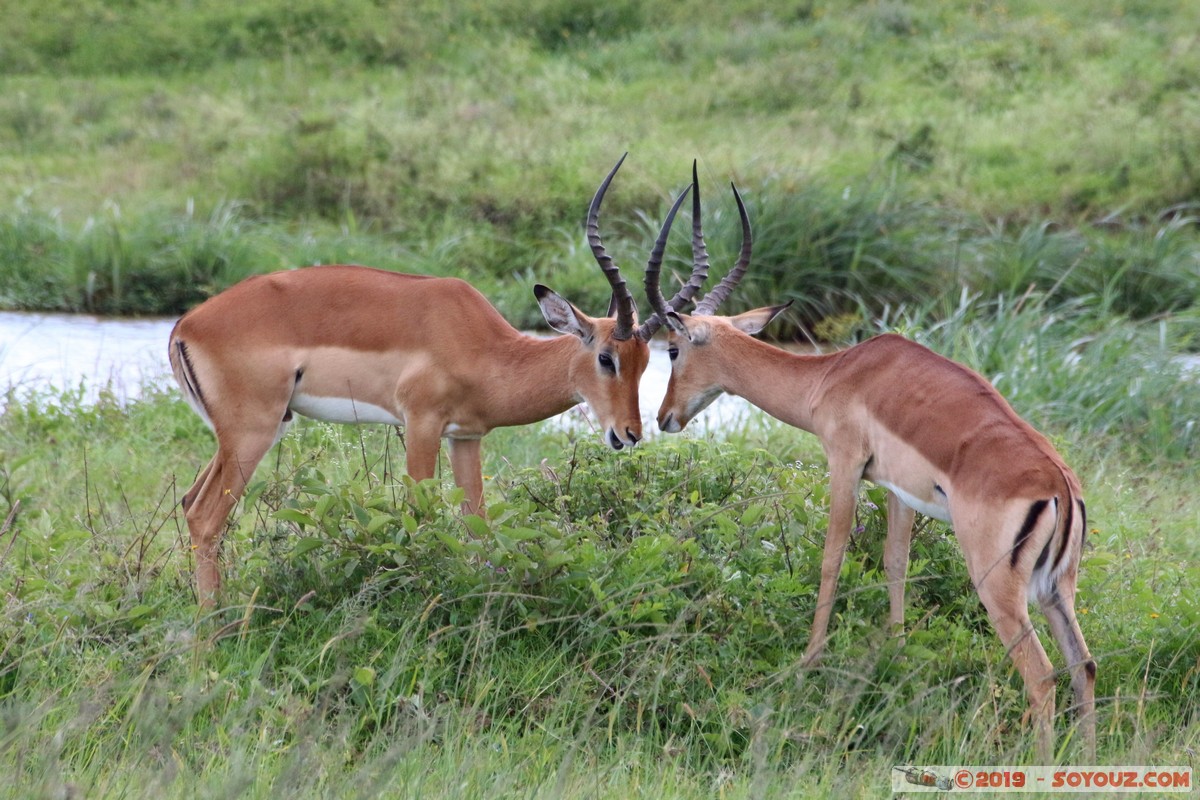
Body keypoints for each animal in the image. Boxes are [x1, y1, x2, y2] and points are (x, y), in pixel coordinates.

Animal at [169, 155, 707, 607]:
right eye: (605, 358)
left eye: (647, 361)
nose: (629, 434)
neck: (485, 347)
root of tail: (185, 326)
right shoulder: (421, 425)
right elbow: (420, 518)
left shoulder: (465, 437)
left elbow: (478, 527)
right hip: (252, 432)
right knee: (206, 517)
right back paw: (213, 632)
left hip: (248, 433)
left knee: (190, 502)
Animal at [649, 173, 1096, 759]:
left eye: (673, 349)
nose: (663, 418)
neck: (835, 374)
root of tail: (1058, 483)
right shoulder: (898, 491)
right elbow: (895, 563)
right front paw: (899, 655)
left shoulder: (843, 463)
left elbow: (832, 557)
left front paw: (807, 662)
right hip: (1056, 588)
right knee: (1083, 668)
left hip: (999, 587)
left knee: (1041, 676)